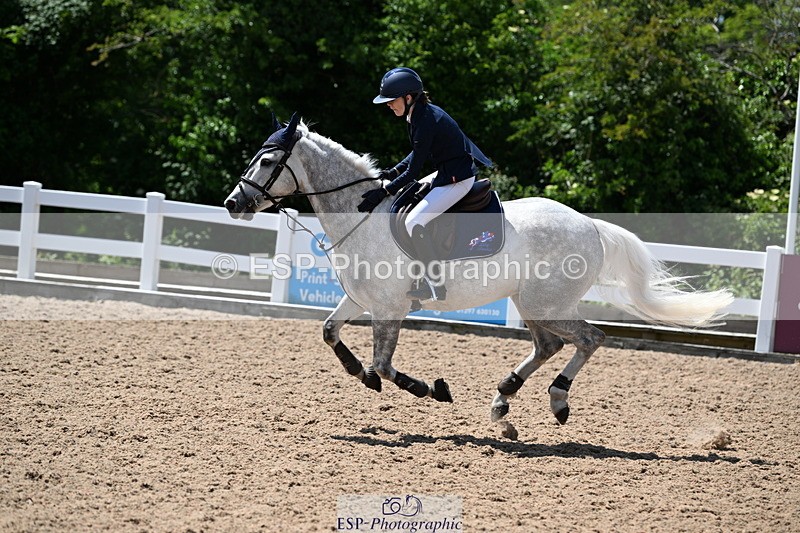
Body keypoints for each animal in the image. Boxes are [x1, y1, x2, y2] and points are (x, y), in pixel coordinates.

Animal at [224, 113, 733, 425]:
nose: (233, 204)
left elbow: (385, 364)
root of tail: (590, 224)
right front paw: (360, 374)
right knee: (549, 344)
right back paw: (504, 397)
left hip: (546, 302)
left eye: (267, 161)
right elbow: (331, 333)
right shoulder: (360, 299)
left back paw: (557, 399)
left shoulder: (389, 307)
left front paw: (429, 389)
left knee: (589, 338)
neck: (361, 213)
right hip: (530, 302)